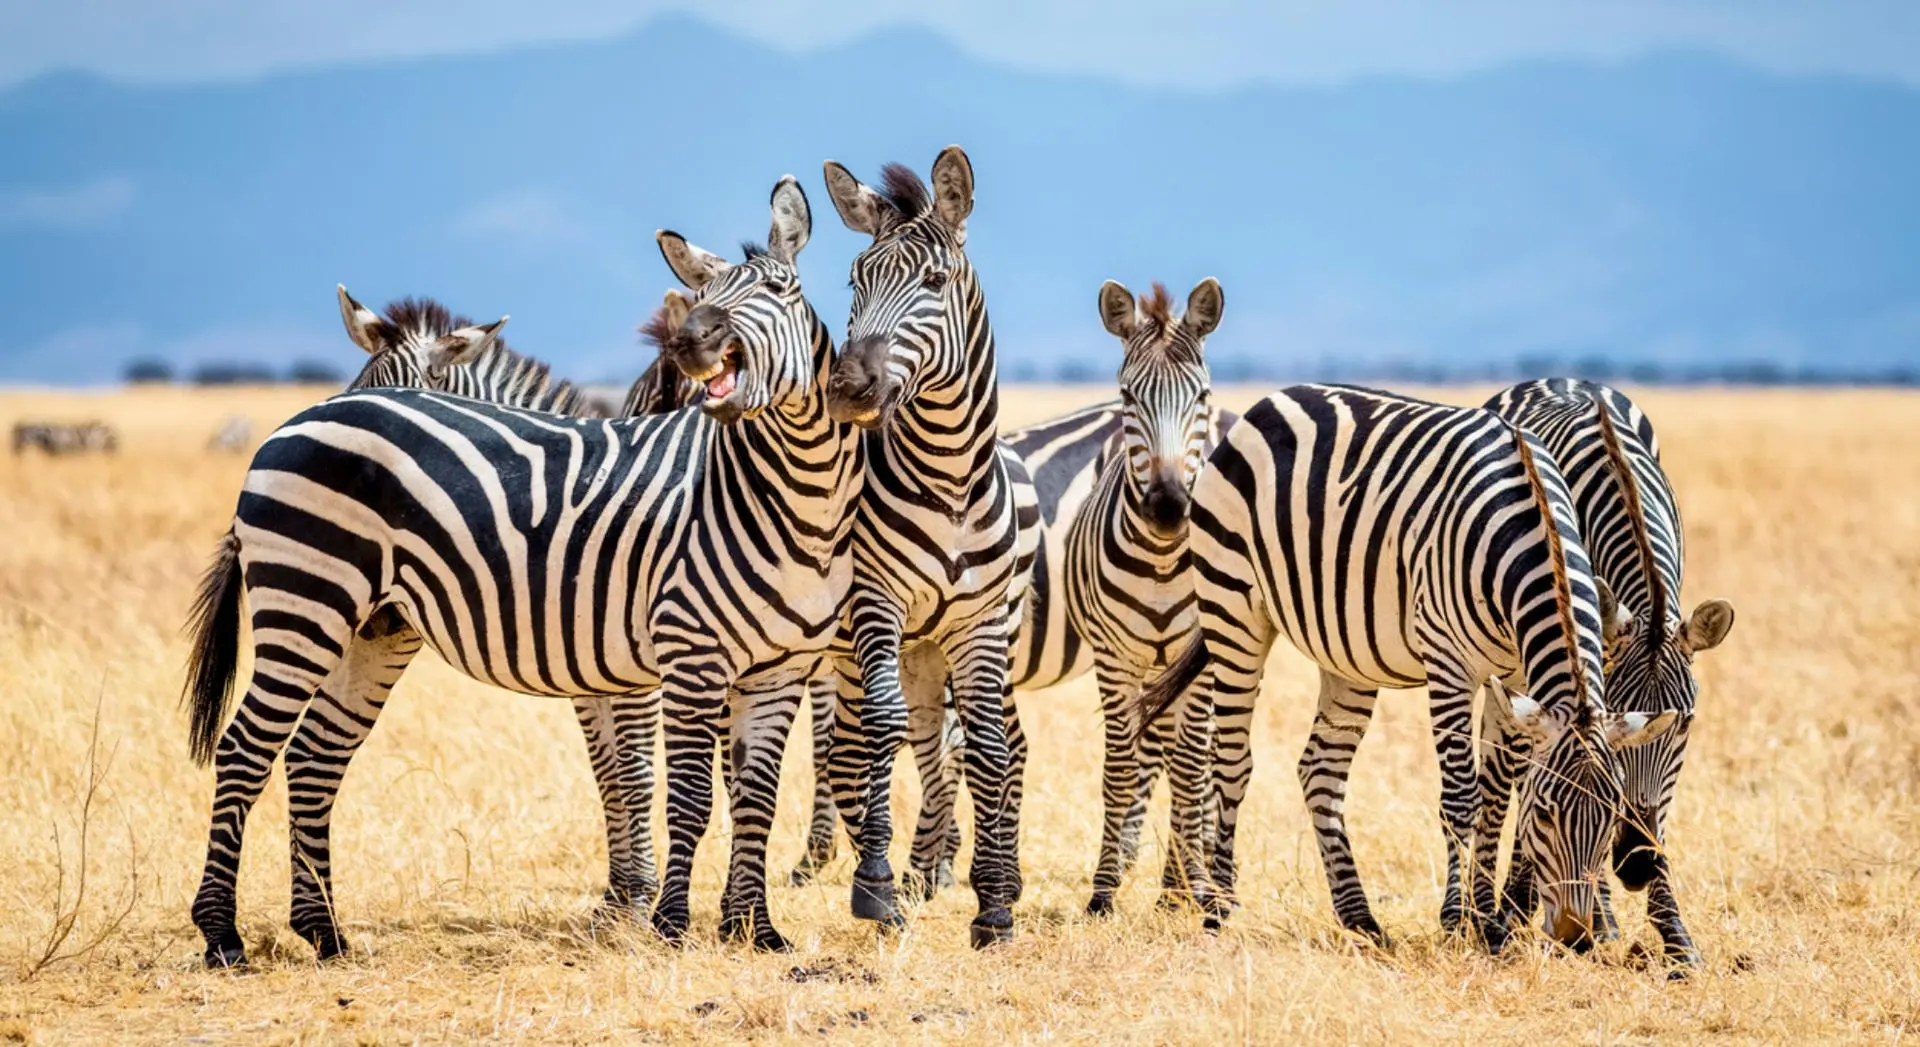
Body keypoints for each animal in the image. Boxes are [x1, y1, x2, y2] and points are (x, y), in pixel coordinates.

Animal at [181, 176, 862, 966]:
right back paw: (223, 934)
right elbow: (669, 786)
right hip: (306, 603)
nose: (694, 342)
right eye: (703, 295)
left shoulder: (773, 666)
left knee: (314, 756)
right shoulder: (680, 656)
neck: (792, 494)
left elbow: (747, 793)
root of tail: (289, 426)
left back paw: (323, 930)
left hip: (373, 628)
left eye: (781, 289)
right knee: (244, 750)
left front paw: (751, 928)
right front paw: (659, 918)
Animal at [817, 147, 1032, 948]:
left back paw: (941, 869)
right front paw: (876, 886)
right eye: (855, 281)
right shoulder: (874, 603)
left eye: (935, 284)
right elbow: (879, 732)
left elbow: (991, 746)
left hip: (936, 647)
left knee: (942, 745)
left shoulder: (978, 623)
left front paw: (994, 903)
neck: (949, 479)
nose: (847, 389)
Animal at [1137, 384, 1677, 951]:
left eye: (1612, 815)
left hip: (1345, 652)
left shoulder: (1514, 677)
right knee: (1232, 761)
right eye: (1546, 814)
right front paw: (1461, 921)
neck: (1531, 528)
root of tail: (1271, 401)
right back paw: (1219, 909)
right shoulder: (1449, 664)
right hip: (1234, 611)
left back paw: (1360, 918)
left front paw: (1489, 922)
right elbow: (1462, 796)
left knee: (1320, 770)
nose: (1576, 937)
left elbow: (1494, 795)